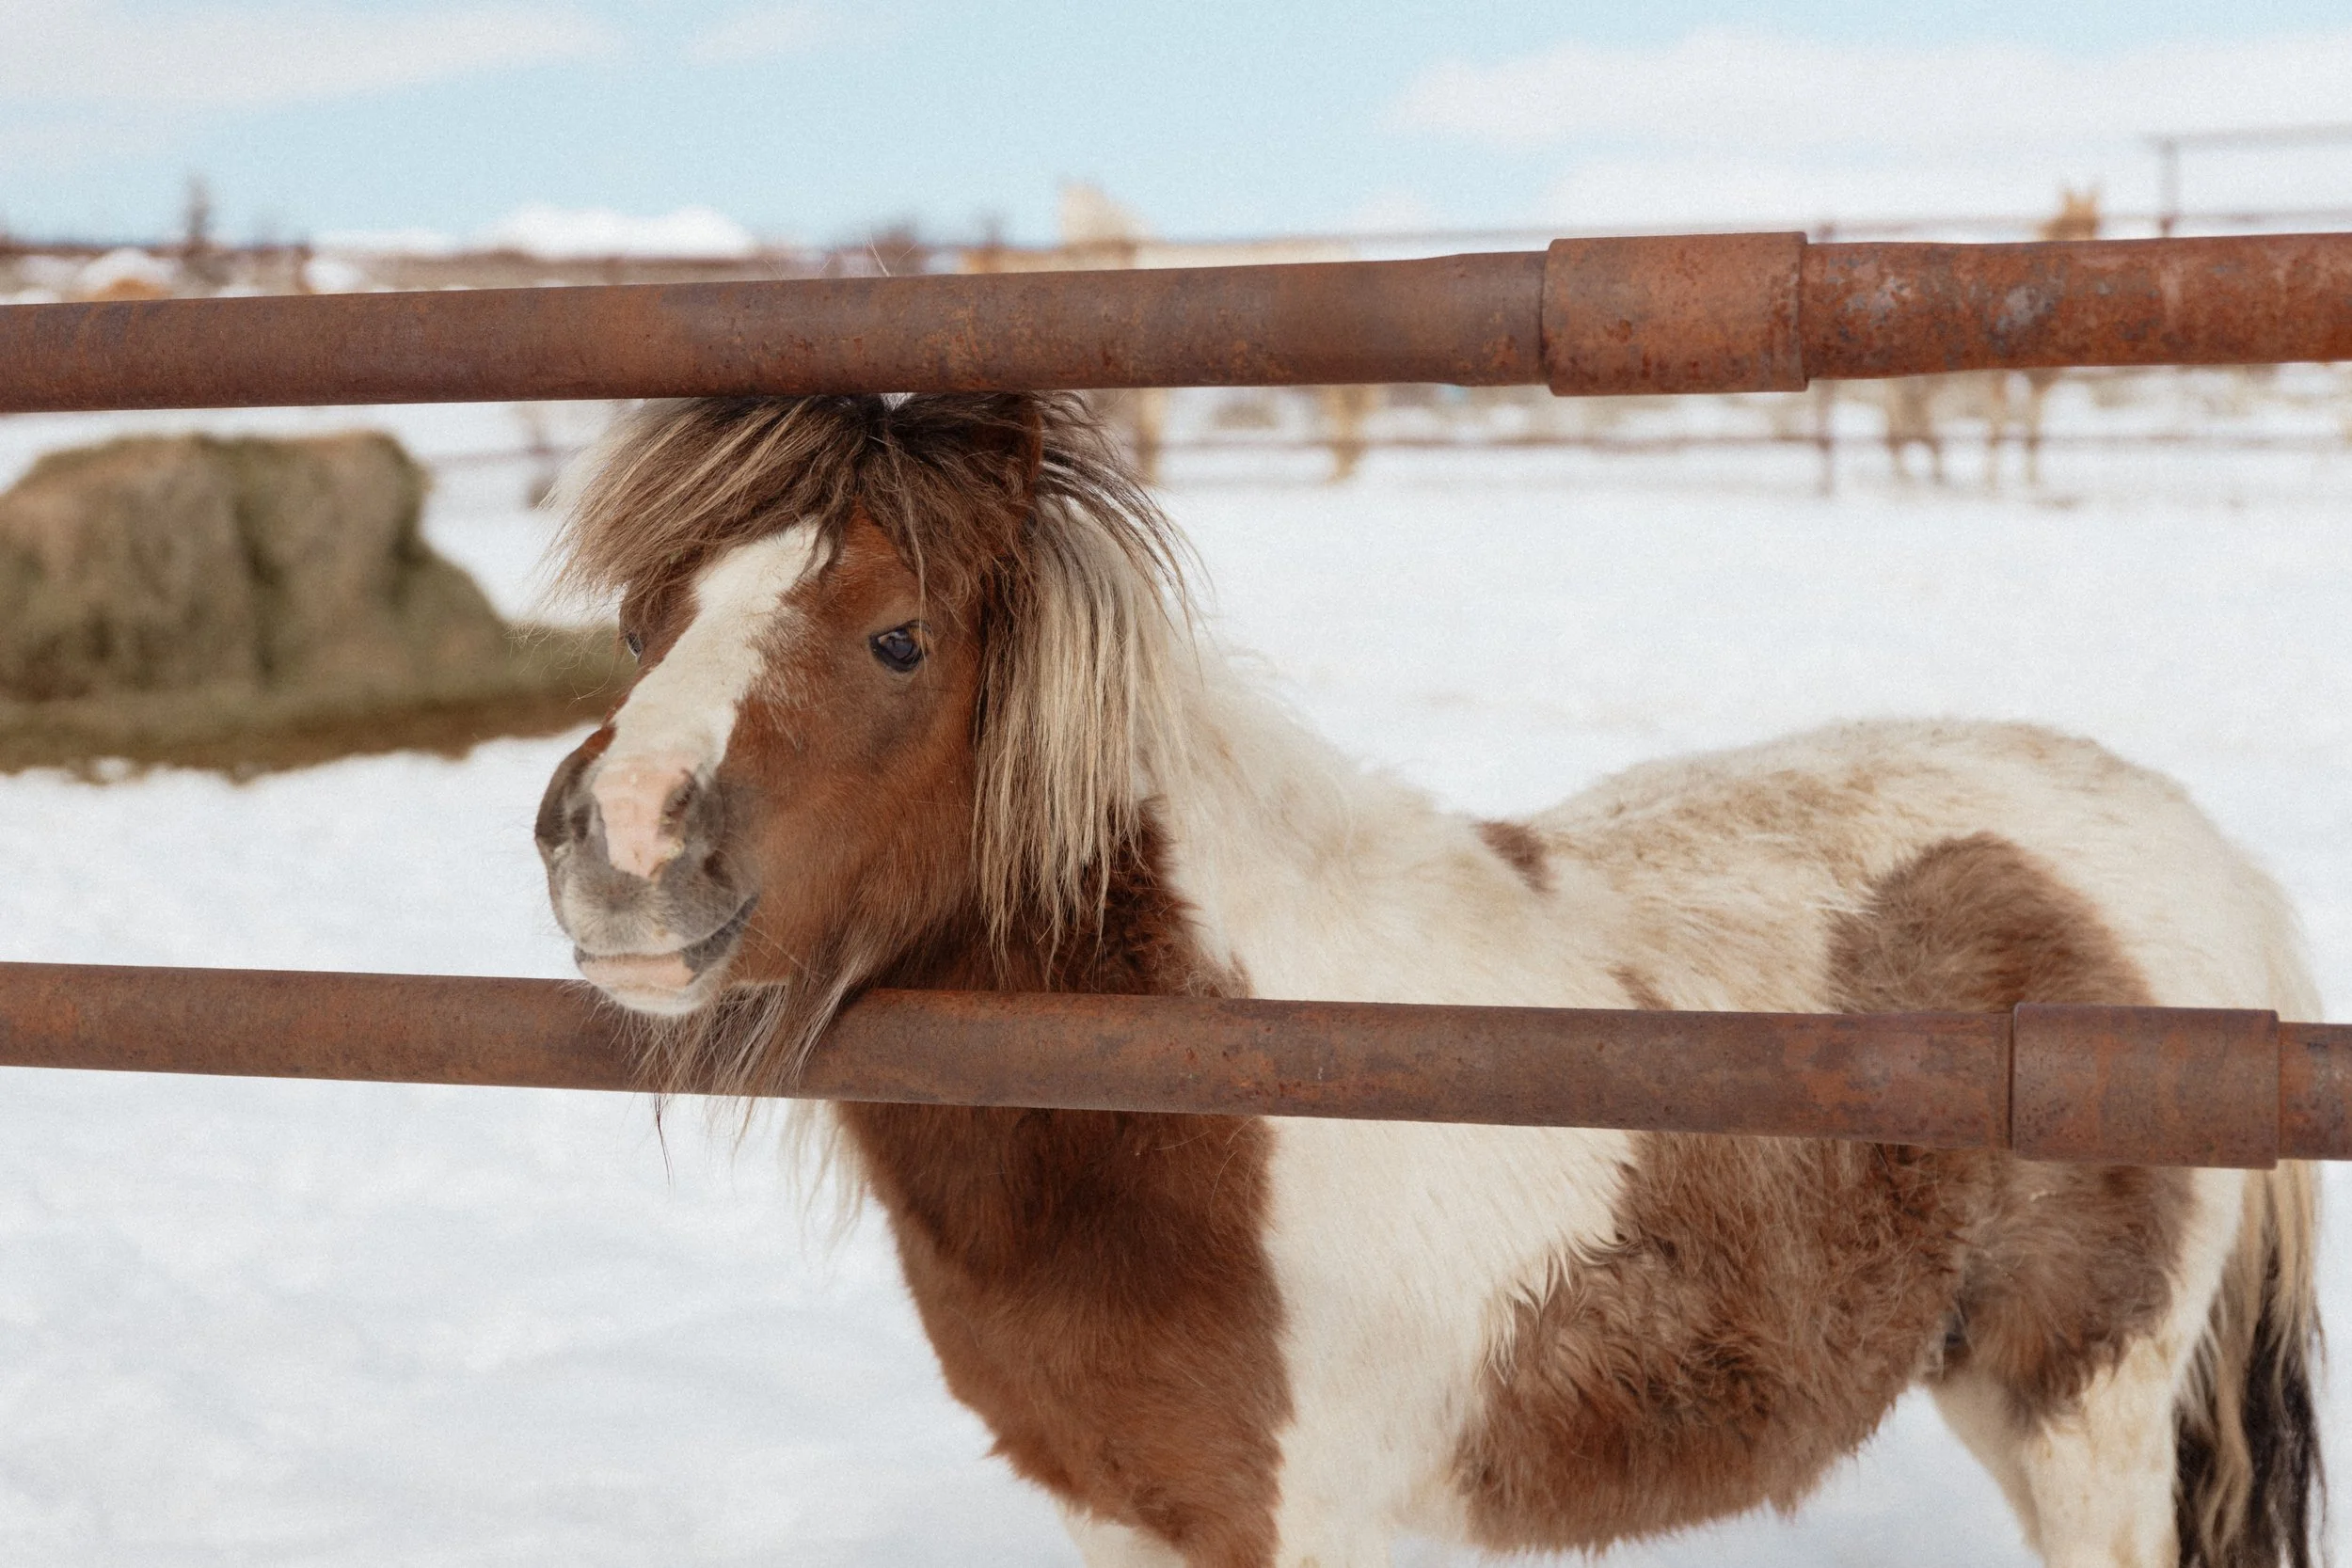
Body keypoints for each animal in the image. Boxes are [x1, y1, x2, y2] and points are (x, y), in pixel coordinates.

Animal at [534, 391, 2321, 1568]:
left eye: (899, 636)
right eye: (642, 623)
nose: (616, 841)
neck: (1202, 1091)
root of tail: (2201, 855)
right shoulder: (1124, 1514)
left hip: (2081, 1412)